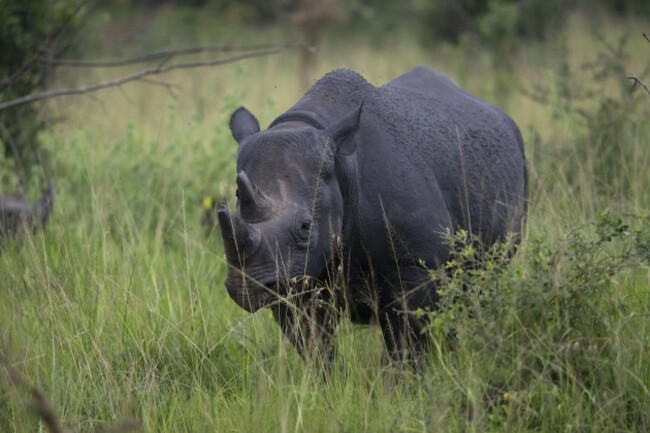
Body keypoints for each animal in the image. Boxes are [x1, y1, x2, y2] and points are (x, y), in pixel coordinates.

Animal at [218, 66, 527, 363]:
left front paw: (406, 380)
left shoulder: (415, 264)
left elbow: (406, 344)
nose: (247, 288)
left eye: (306, 227)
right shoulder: (289, 276)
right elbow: (315, 347)